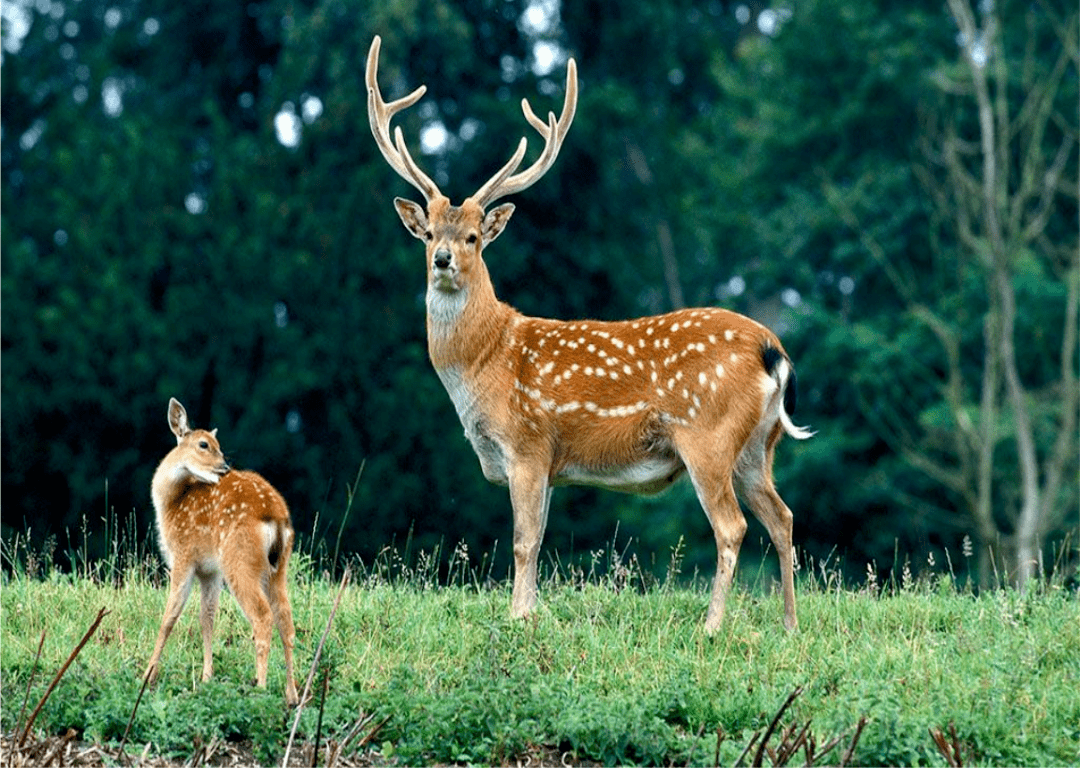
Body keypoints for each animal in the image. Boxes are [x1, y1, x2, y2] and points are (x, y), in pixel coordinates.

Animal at [144, 399, 300, 704]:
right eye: (204, 444)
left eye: (217, 444)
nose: (225, 466)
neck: (171, 503)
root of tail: (275, 516)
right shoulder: (210, 571)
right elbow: (207, 619)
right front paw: (206, 678)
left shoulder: (183, 556)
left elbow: (169, 617)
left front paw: (147, 676)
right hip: (278, 567)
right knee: (286, 620)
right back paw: (292, 695)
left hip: (239, 559)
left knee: (262, 616)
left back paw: (260, 688)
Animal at [367, 36, 812, 630]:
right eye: (430, 233)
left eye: (473, 238)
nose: (442, 260)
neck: (485, 361)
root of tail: (773, 350)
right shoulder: (550, 462)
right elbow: (539, 538)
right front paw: (531, 612)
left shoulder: (528, 443)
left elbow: (523, 542)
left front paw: (517, 619)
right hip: (759, 446)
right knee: (782, 516)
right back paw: (789, 624)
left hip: (708, 435)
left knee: (732, 526)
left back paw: (712, 625)